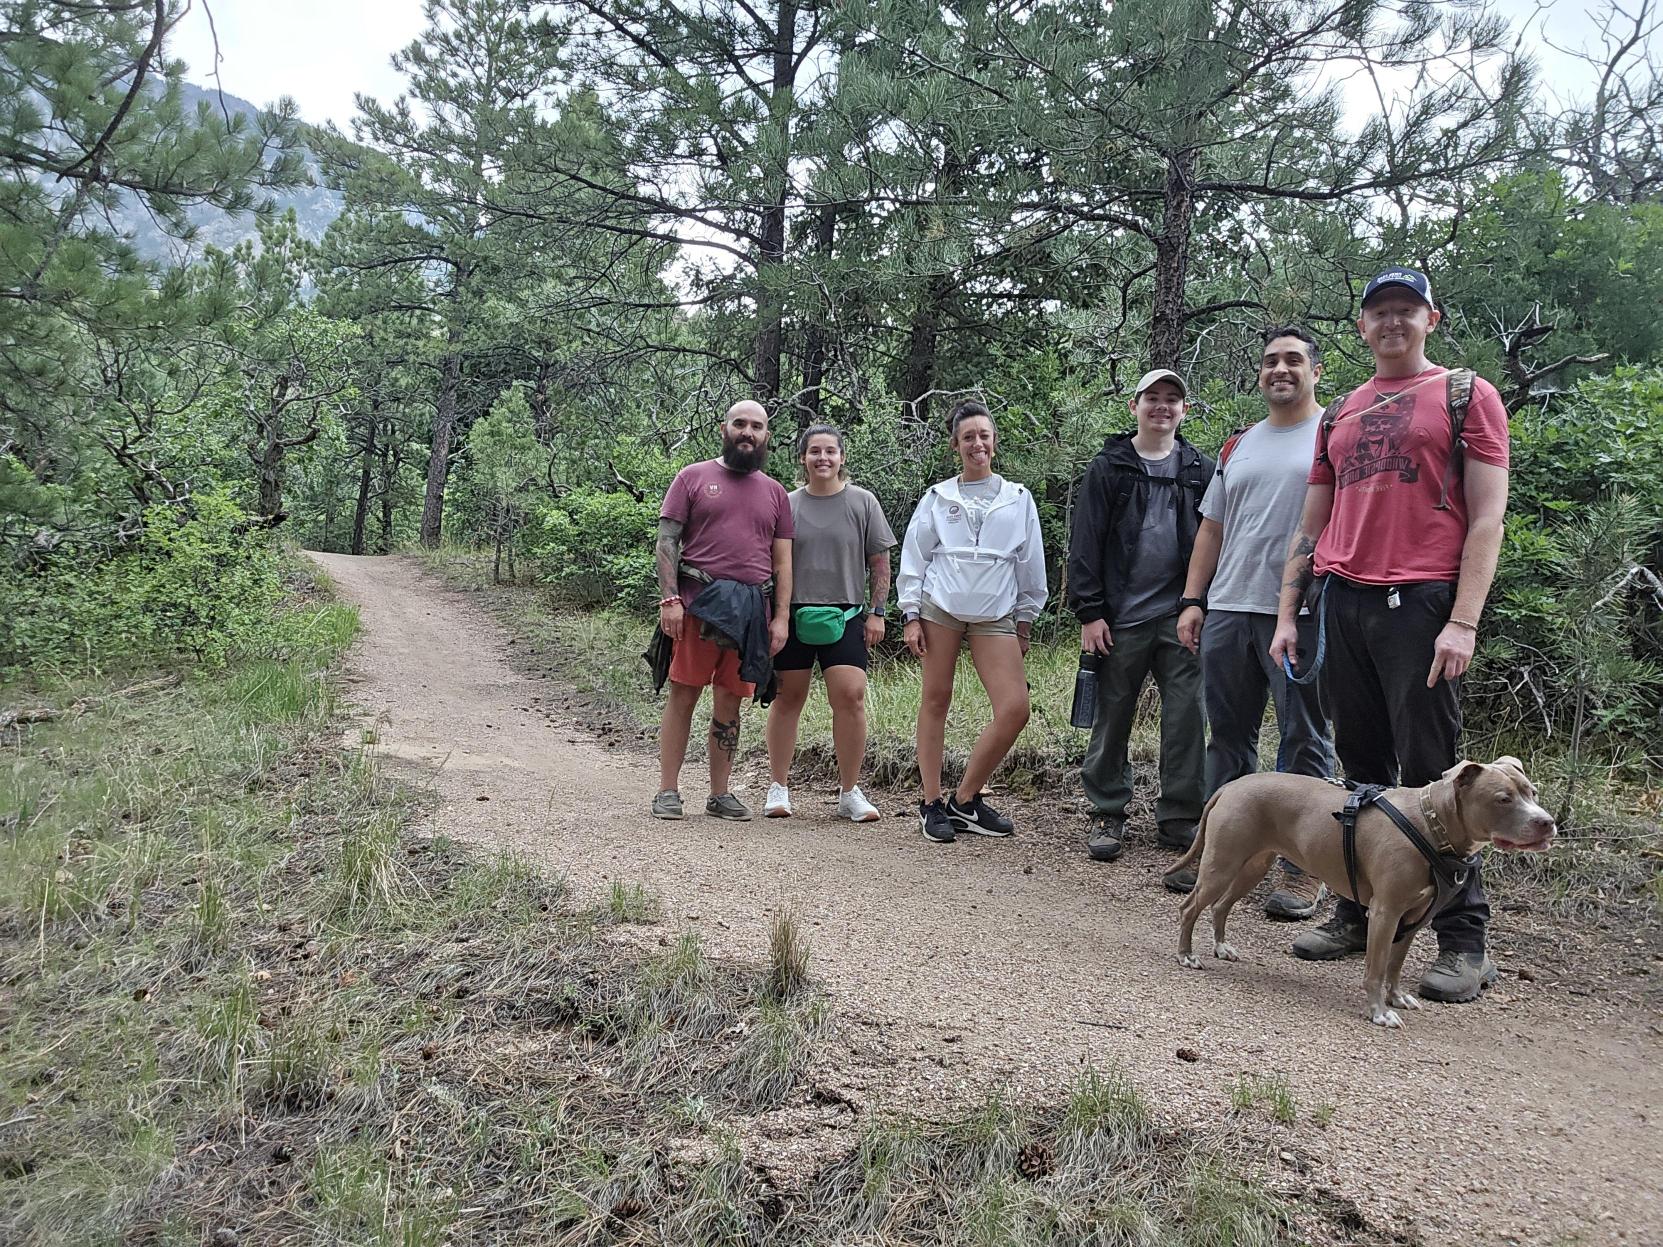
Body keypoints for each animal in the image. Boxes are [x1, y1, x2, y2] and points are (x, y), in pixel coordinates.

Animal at [1177, 758, 1549, 1030]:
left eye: (1532, 792)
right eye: (1503, 799)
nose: (1546, 822)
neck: (1432, 823)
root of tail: (1233, 785)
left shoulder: (1413, 918)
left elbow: (1395, 965)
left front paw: (1397, 998)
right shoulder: (1385, 913)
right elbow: (1377, 967)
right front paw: (1379, 1011)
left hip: (1252, 866)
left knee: (1220, 906)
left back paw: (1221, 947)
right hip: (1222, 864)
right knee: (1189, 907)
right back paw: (1186, 956)